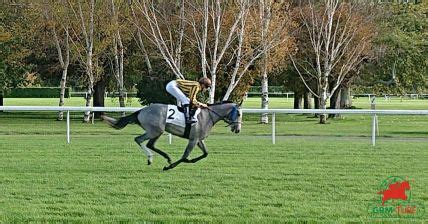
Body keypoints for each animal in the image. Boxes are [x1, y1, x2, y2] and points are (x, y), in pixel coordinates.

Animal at [100, 102, 241, 171]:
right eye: (239, 114)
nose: (238, 129)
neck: (207, 116)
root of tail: (141, 110)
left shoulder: (198, 139)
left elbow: (205, 153)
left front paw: (190, 161)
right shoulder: (193, 139)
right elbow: (185, 156)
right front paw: (170, 166)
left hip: (155, 131)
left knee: (146, 143)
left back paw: (158, 158)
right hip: (156, 131)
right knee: (142, 141)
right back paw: (158, 158)